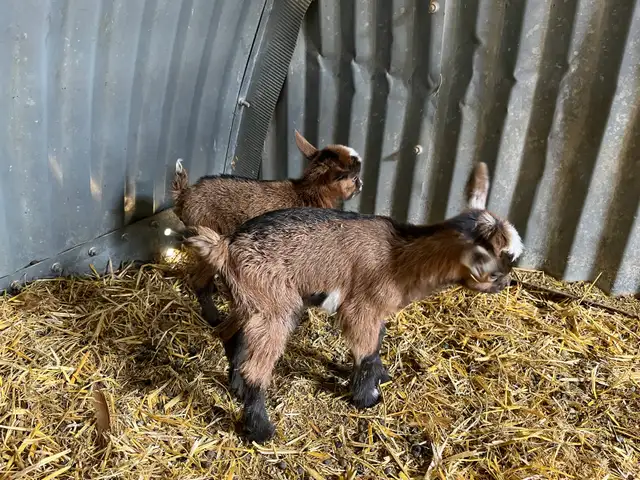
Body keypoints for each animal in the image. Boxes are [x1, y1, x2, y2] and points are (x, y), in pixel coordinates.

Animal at [172, 130, 363, 324]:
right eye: (354, 177)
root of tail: (185, 195)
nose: (361, 186)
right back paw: (214, 317)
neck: (308, 194)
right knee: (199, 280)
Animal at [185, 162, 523, 443]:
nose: (506, 283)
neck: (401, 257)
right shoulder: (362, 308)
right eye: (502, 259)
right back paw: (261, 430)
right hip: (275, 305)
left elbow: (377, 341)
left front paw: (380, 378)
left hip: (252, 301)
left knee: (229, 332)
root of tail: (225, 246)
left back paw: (236, 385)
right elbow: (367, 352)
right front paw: (366, 398)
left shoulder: (377, 311)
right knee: (256, 364)